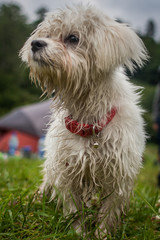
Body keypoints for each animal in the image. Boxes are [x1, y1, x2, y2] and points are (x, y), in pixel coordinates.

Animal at [20, 3, 148, 236]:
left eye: (73, 38)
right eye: (47, 35)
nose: (35, 43)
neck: (88, 119)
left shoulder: (118, 177)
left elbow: (108, 213)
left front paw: (102, 235)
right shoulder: (67, 171)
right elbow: (74, 210)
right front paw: (78, 233)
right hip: (51, 169)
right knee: (46, 185)